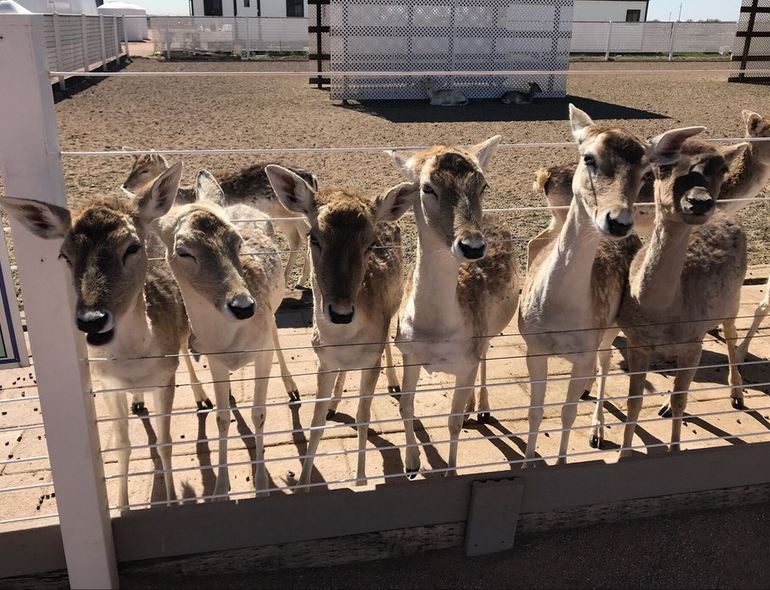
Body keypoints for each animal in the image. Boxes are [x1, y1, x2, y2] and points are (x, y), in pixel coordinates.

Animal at [3, 164, 198, 512]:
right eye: (64, 255)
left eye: (131, 247)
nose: (92, 321)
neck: (135, 361)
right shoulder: (107, 383)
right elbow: (122, 445)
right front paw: (121, 506)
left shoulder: (165, 377)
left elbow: (165, 443)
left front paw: (172, 500)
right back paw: (138, 401)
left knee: (187, 353)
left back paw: (202, 396)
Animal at [120, 149, 316, 290]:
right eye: (133, 166)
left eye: (145, 170)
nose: (125, 185)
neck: (187, 196)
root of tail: (311, 177)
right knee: (300, 237)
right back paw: (298, 280)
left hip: (288, 213)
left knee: (300, 237)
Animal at [154, 170, 300, 500]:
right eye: (183, 250)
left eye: (236, 241)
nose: (243, 305)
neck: (231, 342)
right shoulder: (215, 359)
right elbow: (222, 419)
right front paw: (221, 489)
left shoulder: (262, 352)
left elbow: (259, 413)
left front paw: (261, 486)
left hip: (274, 307)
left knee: (276, 332)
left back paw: (291, 387)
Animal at [388, 136, 520, 478]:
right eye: (427, 187)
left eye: (483, 185)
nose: (472, 246)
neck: (436, 331)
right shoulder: (408, 352)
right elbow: (406, 406)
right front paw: (411, 464)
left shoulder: (465, 358)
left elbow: (452, 422)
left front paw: (449, 472)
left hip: (490, 329)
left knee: (484, 358)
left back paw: (482, 408)